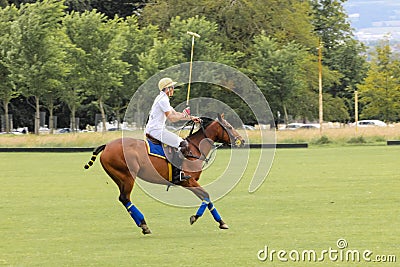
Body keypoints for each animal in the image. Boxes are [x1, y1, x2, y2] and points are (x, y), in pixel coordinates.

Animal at [84, 114, 245, 236]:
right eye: (230, 127)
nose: (242, 141)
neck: (195, 149)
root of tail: (106, 146)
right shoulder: (187, 181)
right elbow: (206, 195)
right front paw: (196, 217)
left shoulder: (190, 182)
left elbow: (206, 197)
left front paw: (221, 222)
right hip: (128, 176)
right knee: (125, 198)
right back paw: (144, 224)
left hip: (119, 178)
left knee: (123, 199)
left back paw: (143, 225)